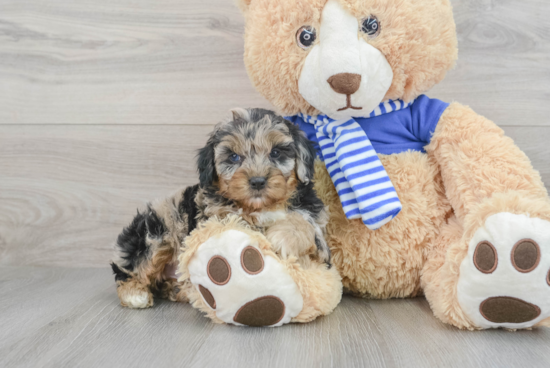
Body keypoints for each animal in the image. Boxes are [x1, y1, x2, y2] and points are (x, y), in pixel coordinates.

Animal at [110, 108, 330, 308]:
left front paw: (283, 237)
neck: (261, 206)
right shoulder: (214, 217)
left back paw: (179, 289)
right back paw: (134, 293)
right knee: (131, 267)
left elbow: (304, 222)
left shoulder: (319, 234)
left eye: (276, 152)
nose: (258, 181)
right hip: (156, 230)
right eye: (233, 157)